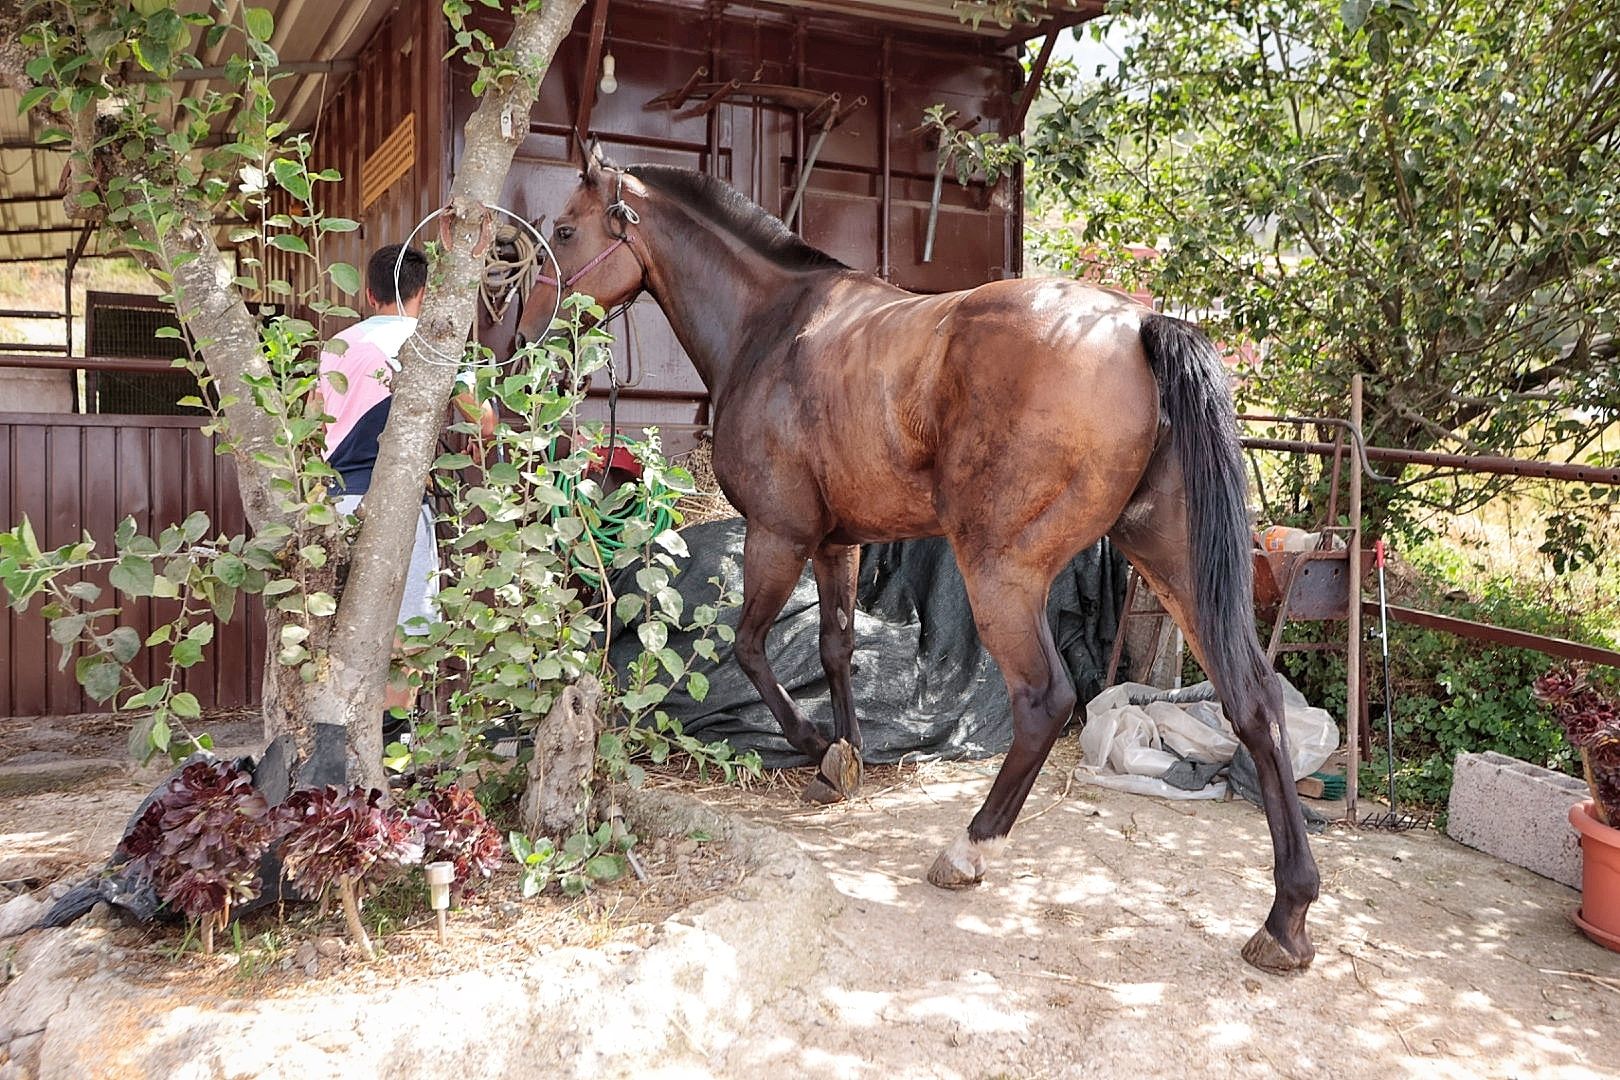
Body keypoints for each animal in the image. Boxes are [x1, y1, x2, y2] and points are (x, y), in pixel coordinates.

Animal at [511, 149, 1321, 971]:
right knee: (1253, 702)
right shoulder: (837, 543)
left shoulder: (777, 534)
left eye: (565, 232)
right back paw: (1286, 916)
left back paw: (968, 849)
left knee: (1045, 701)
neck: (772, 325)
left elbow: (750, 646)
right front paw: (845, 757)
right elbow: (835, 648)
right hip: (1175, 564)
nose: (525, 340)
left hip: (1002, 572)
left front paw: (815, 747)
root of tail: (1137, 324)